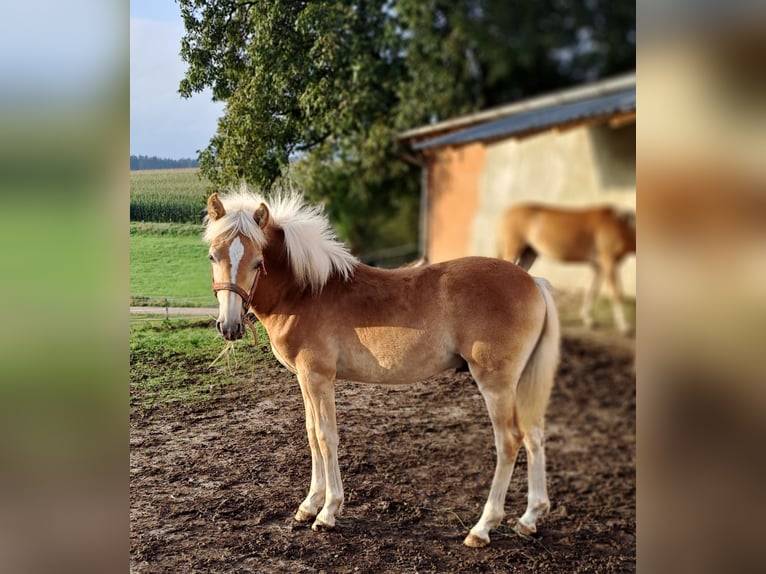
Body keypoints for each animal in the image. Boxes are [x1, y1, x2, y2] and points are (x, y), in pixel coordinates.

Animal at [204, 188, 564, 548]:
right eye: (212, 257)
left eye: (257, 262)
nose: (229, 327)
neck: (305, 292)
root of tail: (533, 280)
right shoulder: (304, 380)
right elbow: (310, 434)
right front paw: (308, 506)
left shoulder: (319, 378)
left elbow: (325, 437)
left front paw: (328, 512)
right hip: (520, 382)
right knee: (534, 434)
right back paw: (529, 519)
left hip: (496, 383)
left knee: (509, 441)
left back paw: (483, 527)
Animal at [498, 205, 636, 336]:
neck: (621, 225)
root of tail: (507, 214)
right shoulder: (608, 262)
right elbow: (616, 293)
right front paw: (624, 327)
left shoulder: (598, 266)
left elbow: (591, 290)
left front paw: (588, 319)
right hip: (513, 249)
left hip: (530, 253)